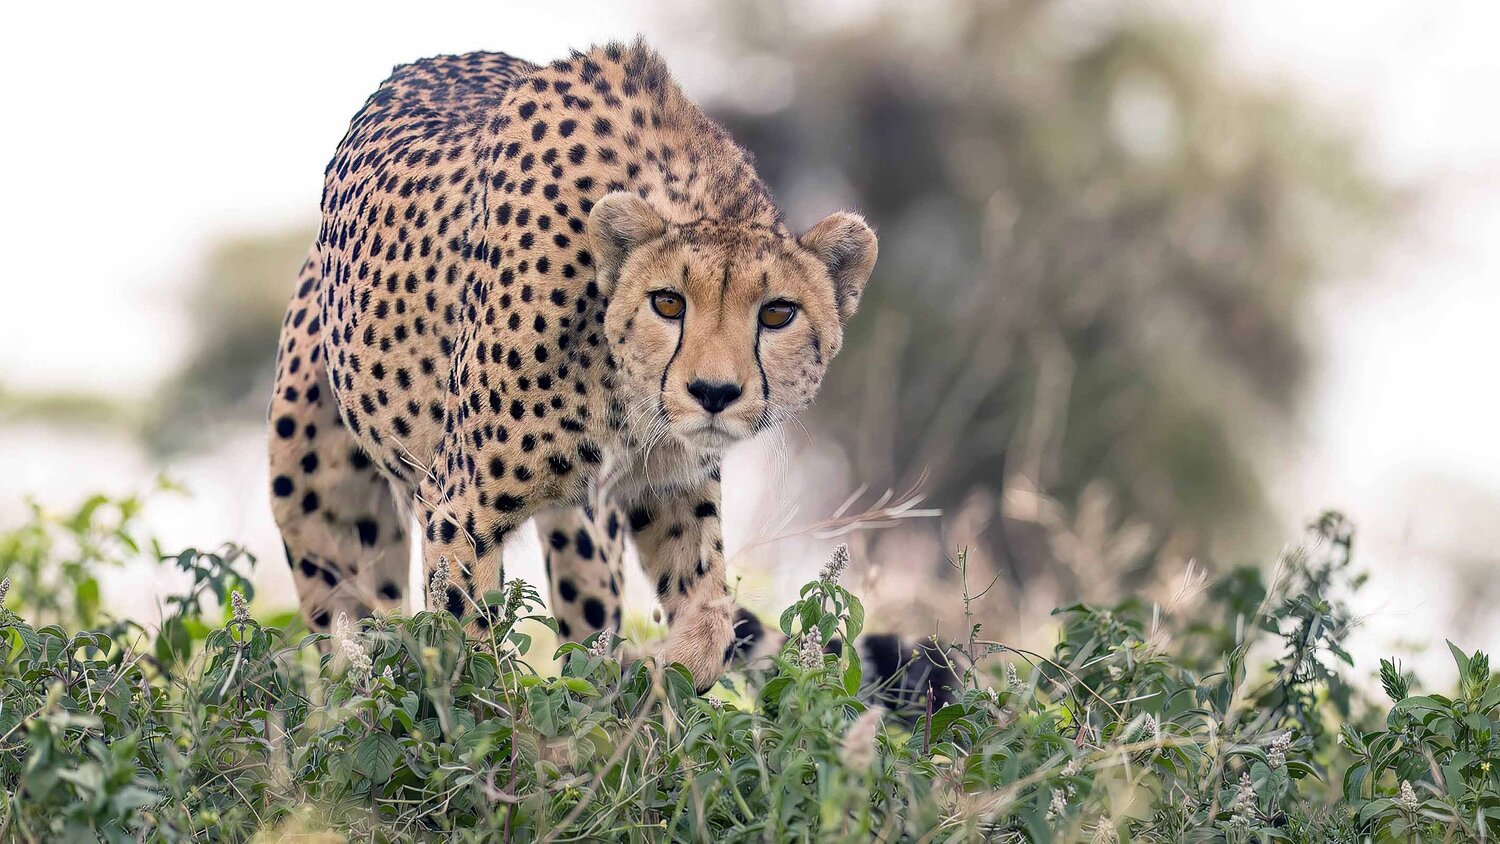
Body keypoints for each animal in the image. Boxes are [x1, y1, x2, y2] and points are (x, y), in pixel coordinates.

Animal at [267, 39, 956, 703]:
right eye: (668, 303)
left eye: (778, 313)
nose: (713, 393)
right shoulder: (456, 505)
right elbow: (467, 656)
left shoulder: (671, 486)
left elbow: (709, 621)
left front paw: (651, 682)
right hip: (315, 494)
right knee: (352, 634)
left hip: (579, 529)